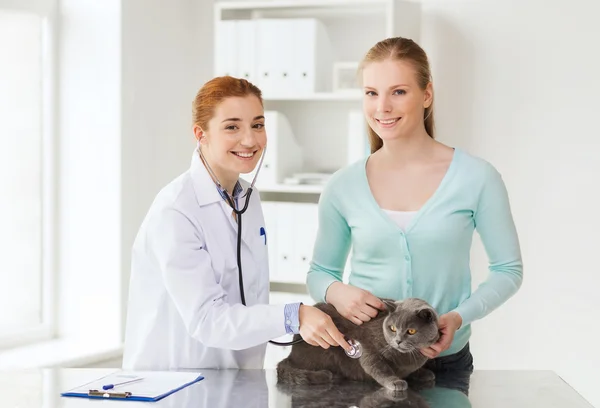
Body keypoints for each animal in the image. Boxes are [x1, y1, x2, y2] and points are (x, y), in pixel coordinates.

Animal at [278, 298, 440, 390]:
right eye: (393, 328)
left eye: (411, 331)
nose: (398, 341)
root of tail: (290, 355)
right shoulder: (369, 351)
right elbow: (381, 369)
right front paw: (395, 382)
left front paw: (424, 373)